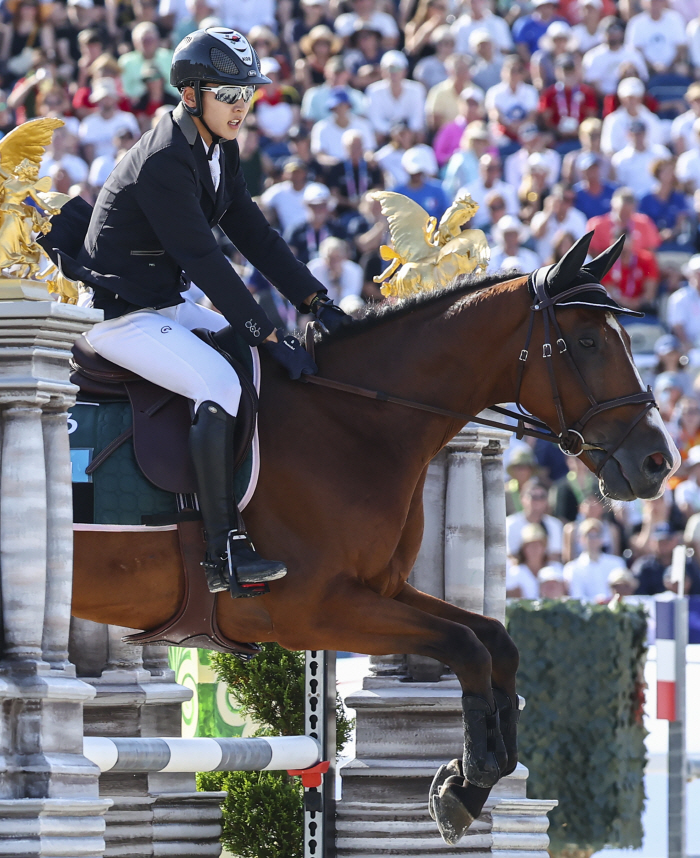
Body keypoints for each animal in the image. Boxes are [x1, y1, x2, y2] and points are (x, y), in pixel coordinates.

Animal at [72, 231, 680, 840]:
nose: (659, 462)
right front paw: (469, 778)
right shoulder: (313, 611)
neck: (350, 418)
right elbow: (465, 646)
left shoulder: (381, 589)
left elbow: (495, 641)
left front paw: (471, 779)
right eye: (587, 341)